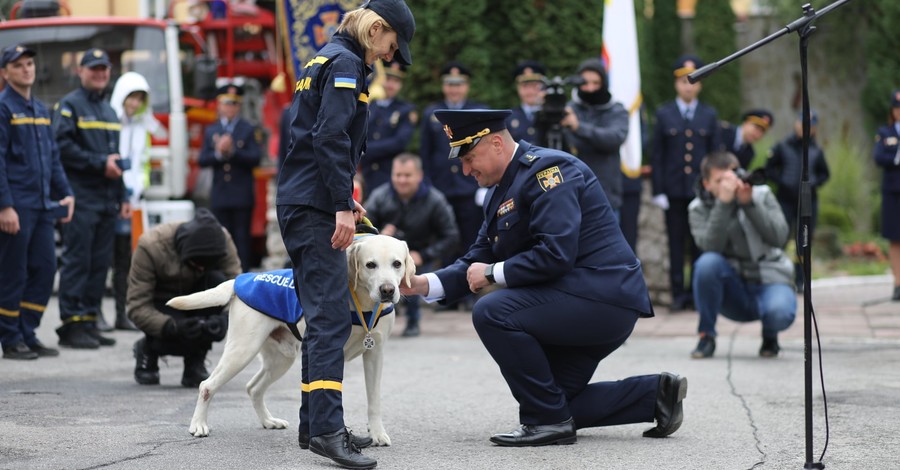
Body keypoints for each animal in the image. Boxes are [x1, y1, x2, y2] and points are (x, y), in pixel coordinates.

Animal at [166, 235, 414, 444]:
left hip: (281, 359)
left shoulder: (375, 353)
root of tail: (240, 279)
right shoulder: (331, 353)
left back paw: (268, 421)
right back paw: (198, 425)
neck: (362, 304)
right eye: (370, 264)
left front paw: (377, 433)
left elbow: (374, 399)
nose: (387, 290)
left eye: (397, 264)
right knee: (207, 385)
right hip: (242, 350)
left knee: (253, 388)